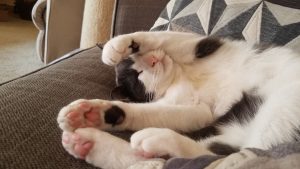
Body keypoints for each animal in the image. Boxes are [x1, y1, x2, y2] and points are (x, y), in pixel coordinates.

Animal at [56, 31, 300, 168]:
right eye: (138, 75)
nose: (153, 60)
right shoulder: (197, 110)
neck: (182, 76)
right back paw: (86, 141)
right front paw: (91, 113)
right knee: (211, 156)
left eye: (137, 59)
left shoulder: (200, 45)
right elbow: (149, 112)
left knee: (230, 156)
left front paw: (117, 45)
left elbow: (163, 35)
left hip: (279, 110)